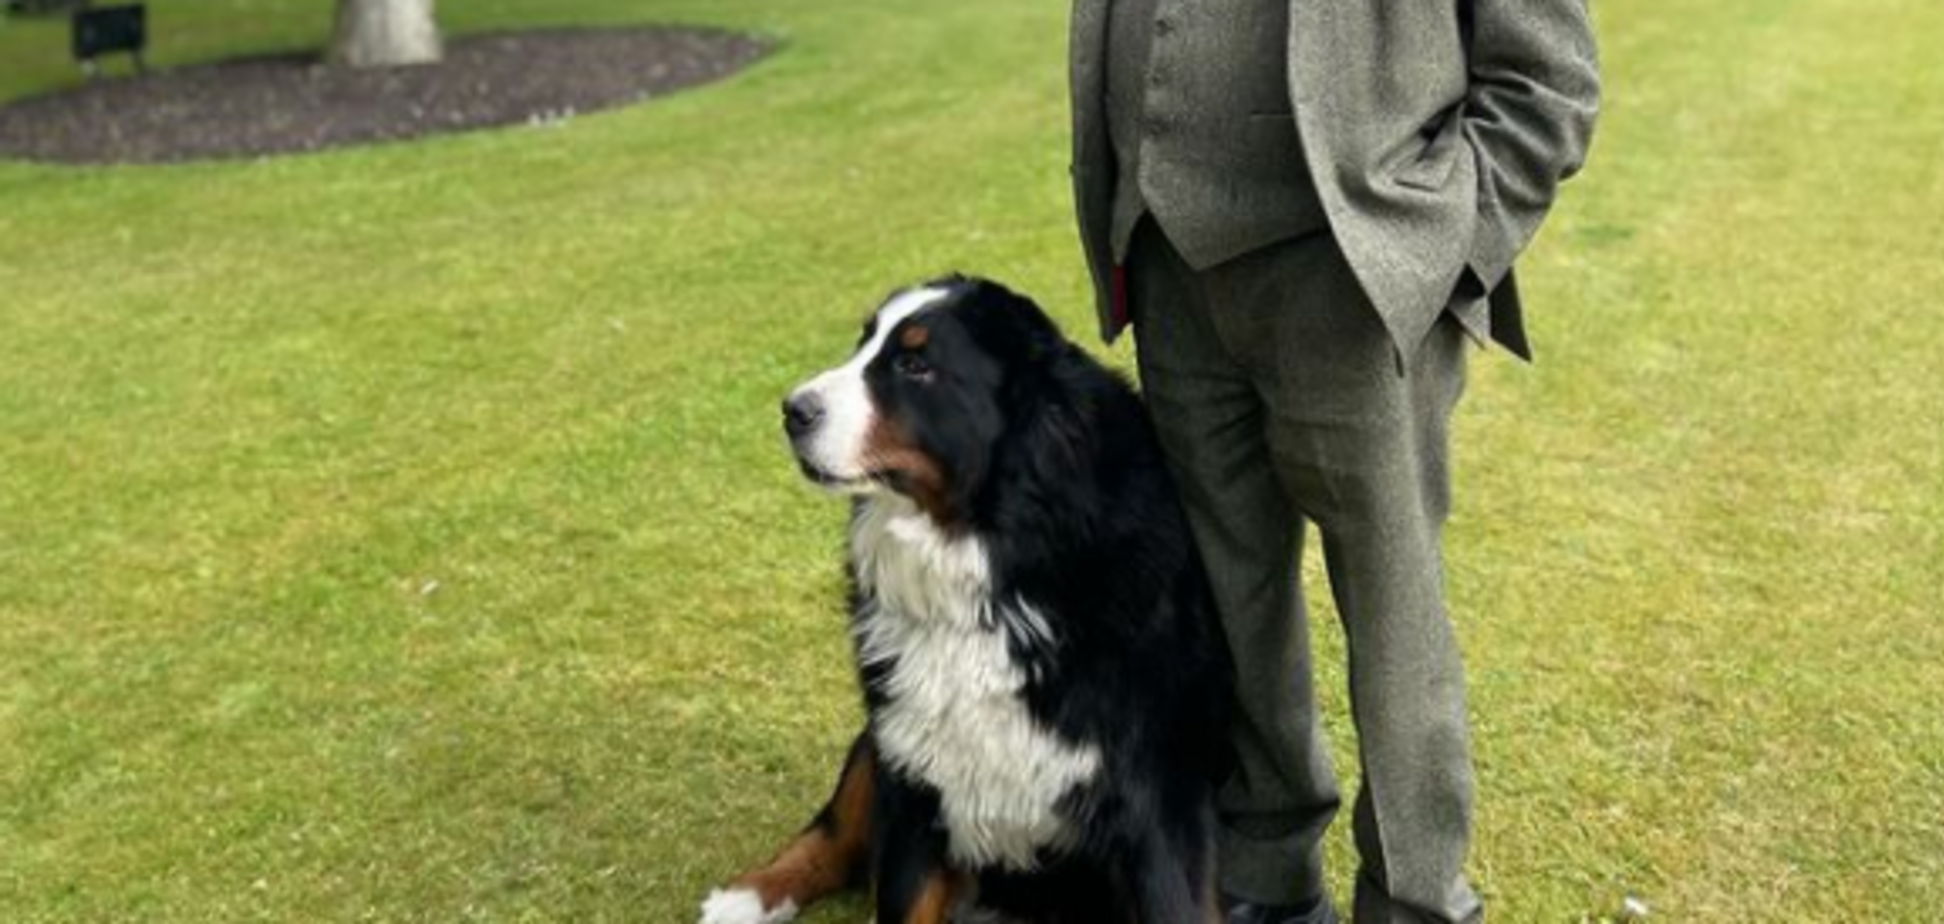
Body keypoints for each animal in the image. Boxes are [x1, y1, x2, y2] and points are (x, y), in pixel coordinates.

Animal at [703, 278, 1228, 924]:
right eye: (863, 342)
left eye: (914, 364)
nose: (792, 409)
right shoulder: (914, 777)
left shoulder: (1159, 797)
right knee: (833, 834)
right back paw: (746, 897)